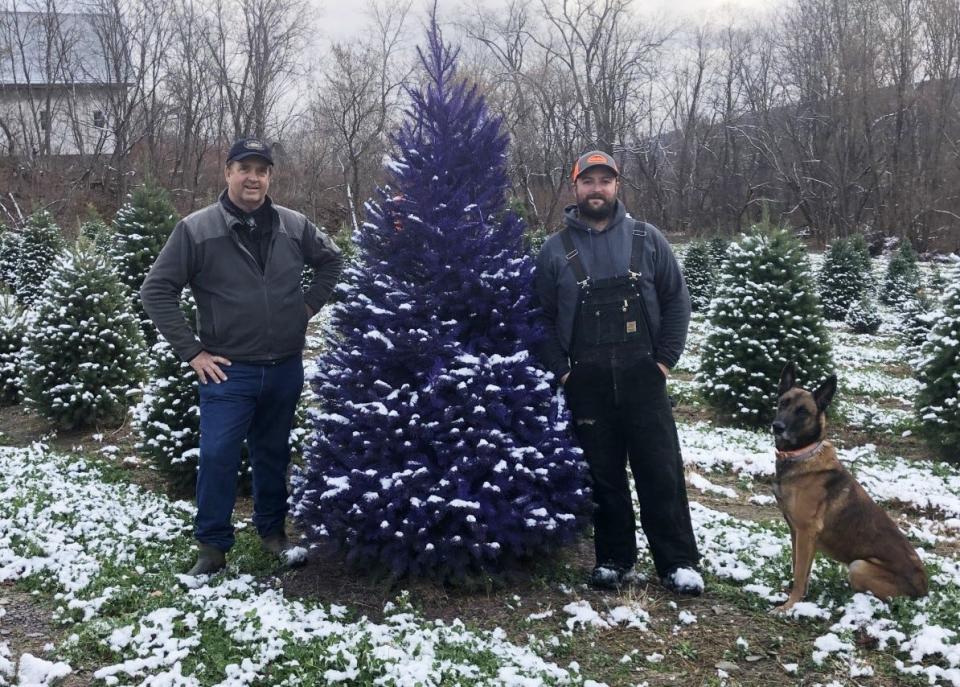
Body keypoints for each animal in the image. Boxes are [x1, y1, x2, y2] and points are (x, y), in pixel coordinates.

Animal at [768, 362, 928, 616]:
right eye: (783, 403)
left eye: (803, 411)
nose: (777, 427)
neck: (802, 454)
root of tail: (924, 589)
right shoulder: (797, 533)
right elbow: (800, 570)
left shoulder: (806, 532)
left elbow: (800, 572)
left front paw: (789, 606)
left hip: (859, 566)